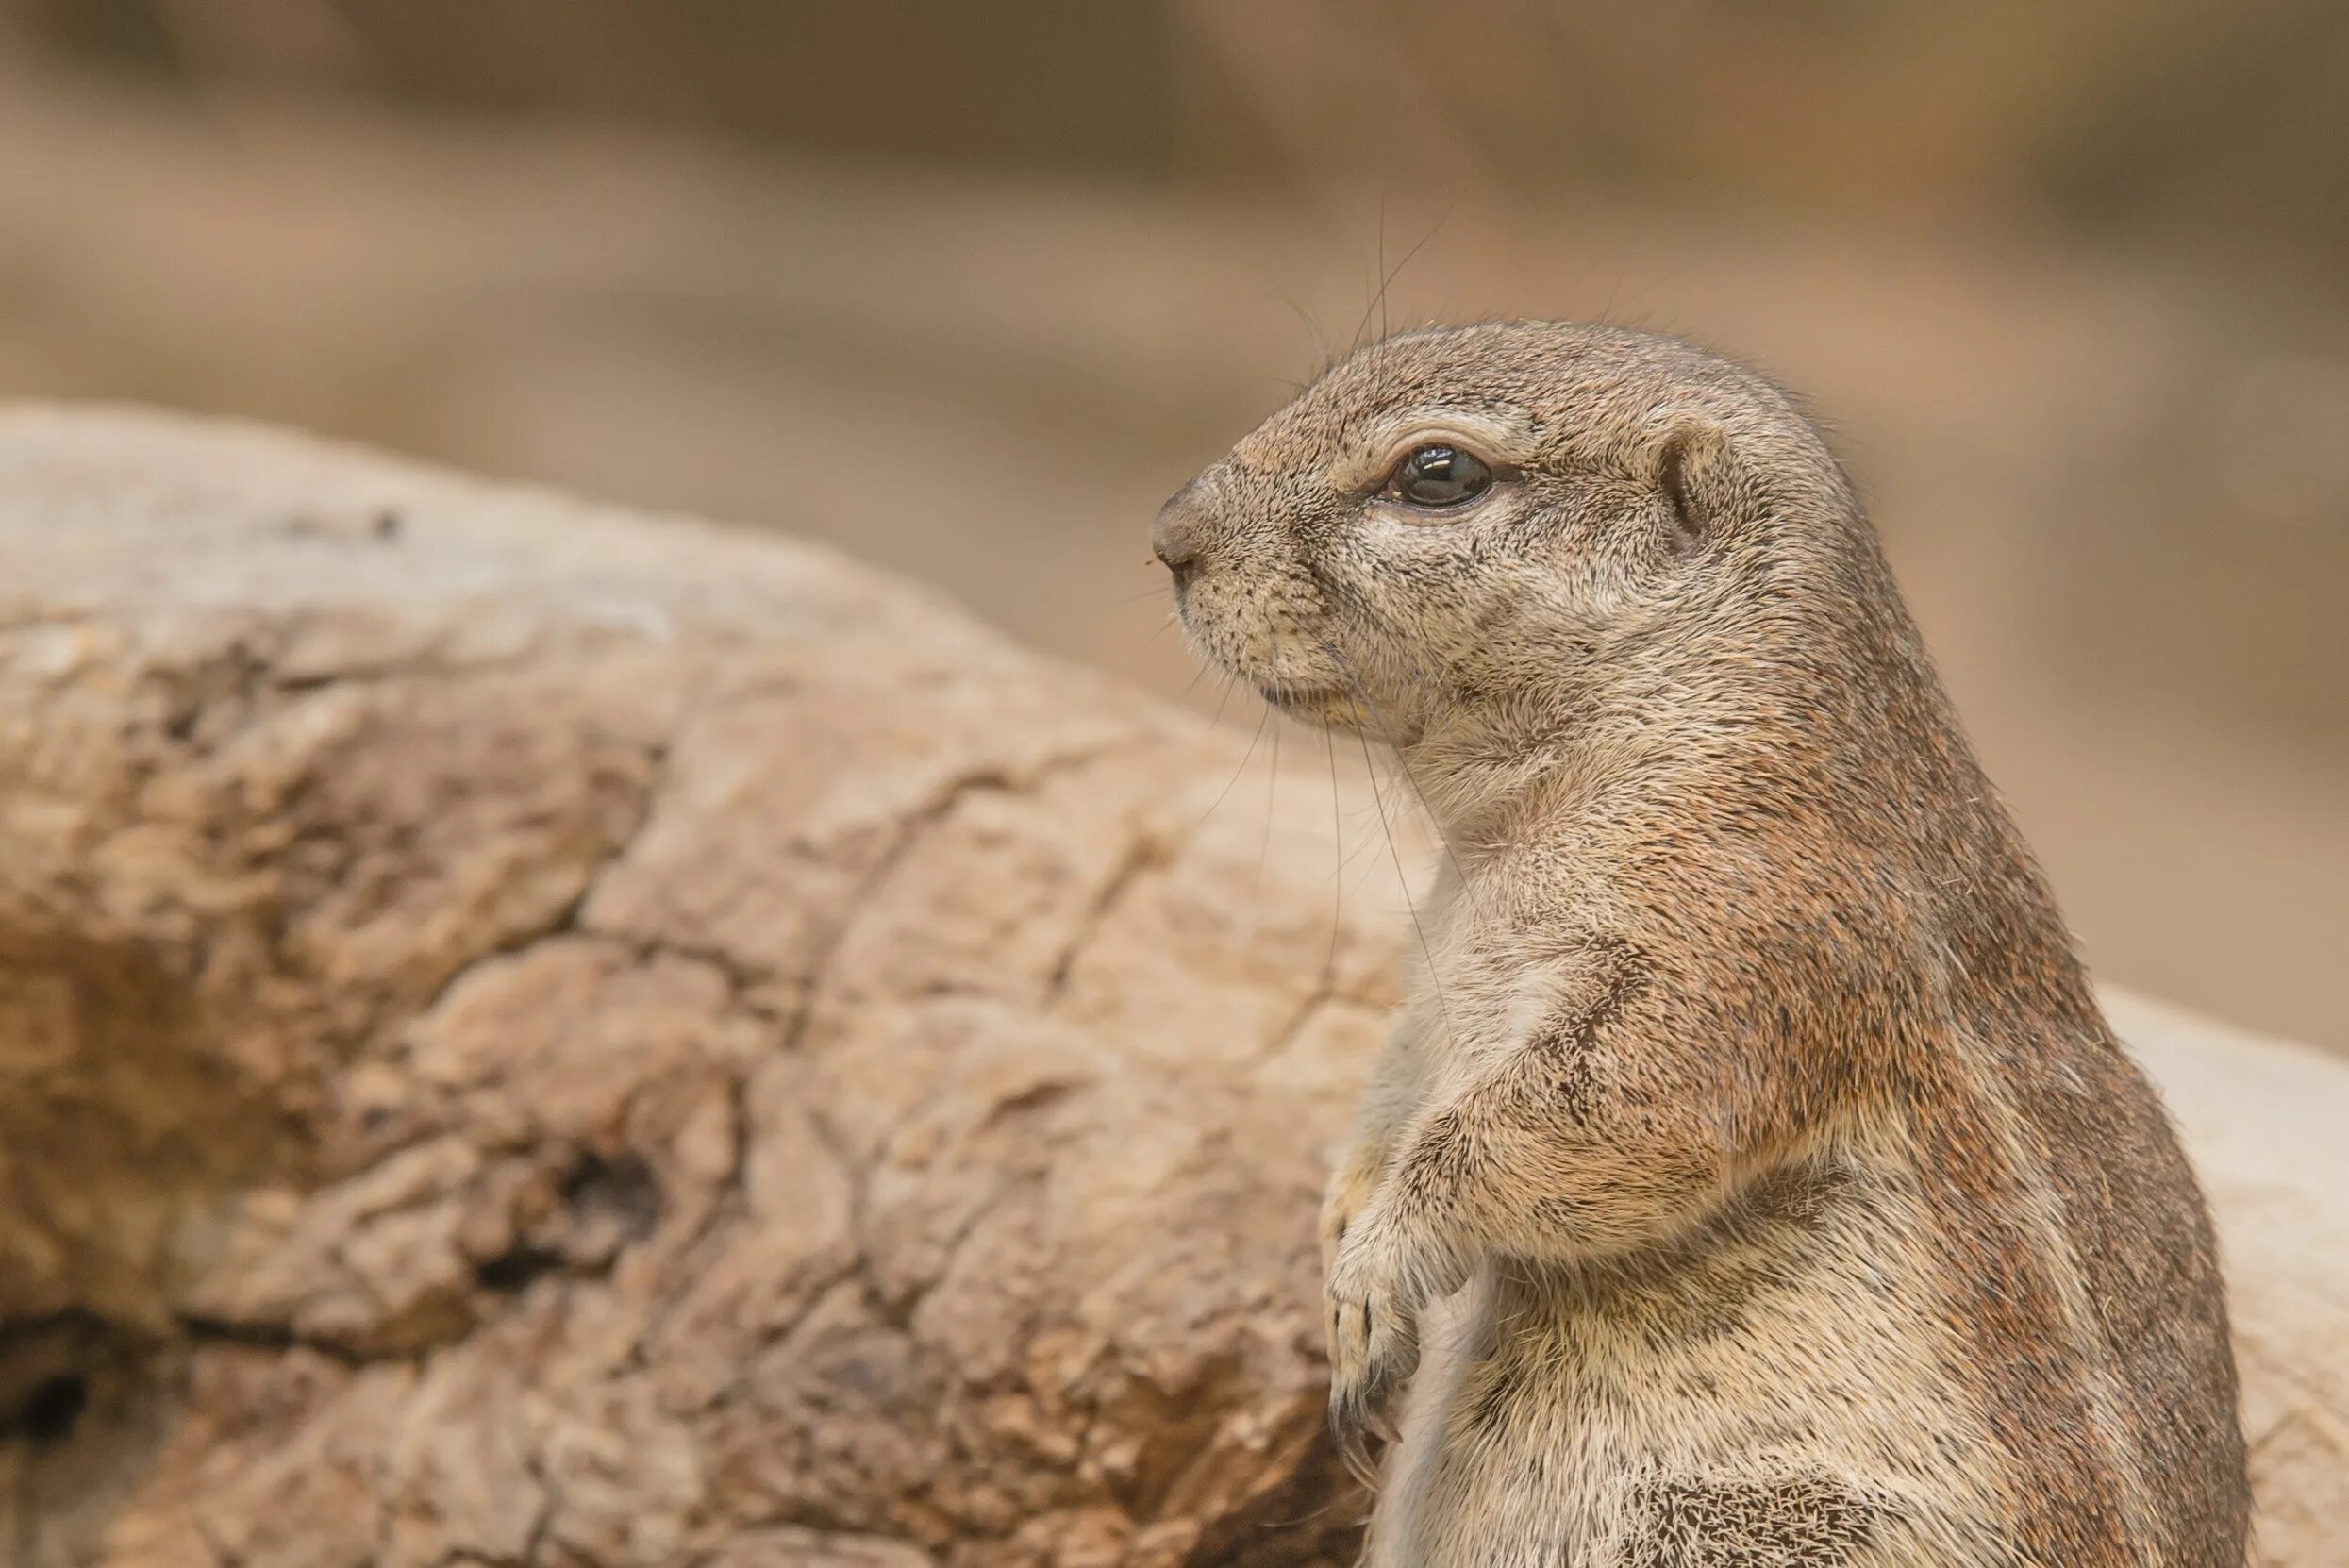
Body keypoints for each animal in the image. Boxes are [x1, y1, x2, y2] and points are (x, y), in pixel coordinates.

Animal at [1156, 324, 2255, 1560]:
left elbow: (1587, 1118)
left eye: (1438, 473)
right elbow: (1395, 1096)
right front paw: (1341, 1225)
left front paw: (1376, 1265)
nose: (1169, 537)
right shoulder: (1433, 990)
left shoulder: (1744, 937)